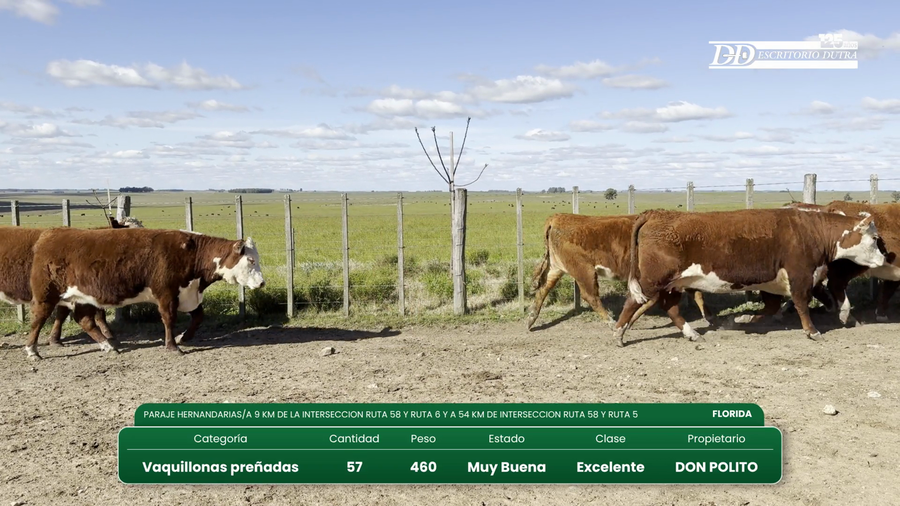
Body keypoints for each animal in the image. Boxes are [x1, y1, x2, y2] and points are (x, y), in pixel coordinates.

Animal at [24, 227, 265, 360]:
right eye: (251, 260)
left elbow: (198, 317)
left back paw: (108, 346)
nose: (262, 283)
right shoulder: (166, 293)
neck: (190, 251)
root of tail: (49, 235)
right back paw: (32, 350)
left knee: (85, 320)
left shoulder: (187, 293)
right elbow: (168, 319)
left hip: (83, 297)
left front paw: (183, 337)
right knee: (38, 319)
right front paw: (172, 346)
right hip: (46, 294)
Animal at [527, 213, 711, 330]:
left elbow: (695, 294)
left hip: (557, 268)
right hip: (583, 270)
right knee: (591, 296)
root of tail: (559, 216)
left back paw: (531, 319)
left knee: (544, 288)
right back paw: (610, 321)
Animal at [614, 208, 886, 347]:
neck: (811, 230)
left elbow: (772, 306)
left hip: (673, 284)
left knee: (670, 307)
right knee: (632, 302)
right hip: (654, 280)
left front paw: (743, 319)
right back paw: (618, 335)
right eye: (874, 239)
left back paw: (691, 333)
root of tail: (656, 213)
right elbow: (802, 303)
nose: (884, 259)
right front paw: (812, 331)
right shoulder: (800, 274)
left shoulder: (776, 281)